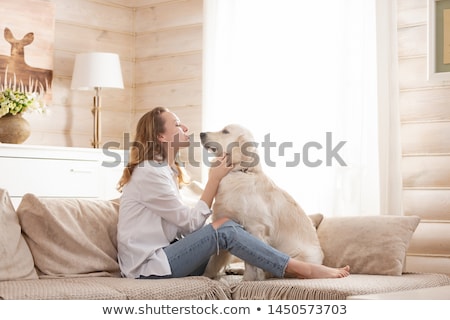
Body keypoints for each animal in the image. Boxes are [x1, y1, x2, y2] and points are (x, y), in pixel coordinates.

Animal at [200, 124, 324, 278]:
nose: (201, 134)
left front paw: (248, 280)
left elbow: (251, 263)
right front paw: (205, 277)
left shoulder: (255, 227)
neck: (240, 171)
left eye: (225, 131)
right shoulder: (225, 221)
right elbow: (214, 262)